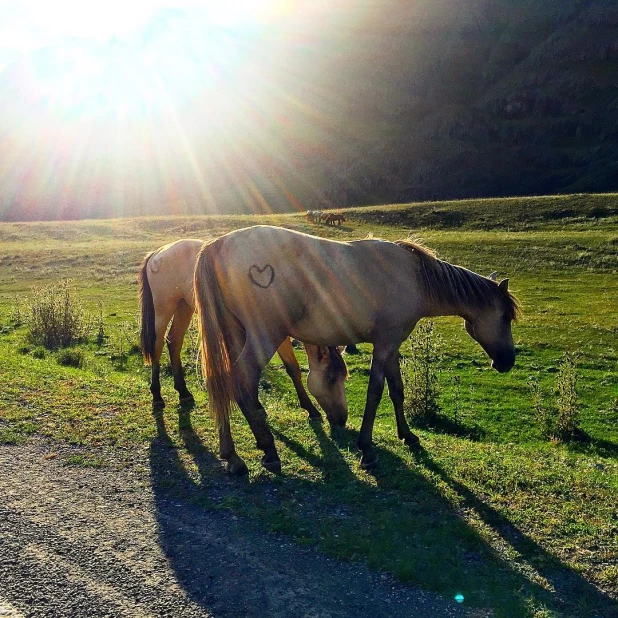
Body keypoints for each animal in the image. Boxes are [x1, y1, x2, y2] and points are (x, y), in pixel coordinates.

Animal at [137, 238, 346, 422]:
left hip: (183, 306)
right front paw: (310, 409)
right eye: (331, 378)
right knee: (157, 345)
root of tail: (158, 252)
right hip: (163, 308)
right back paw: (157, 396)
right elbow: (291, 368)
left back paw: (183, 392)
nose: (342, 419)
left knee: (174, 341)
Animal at [192, 226, 516, 472]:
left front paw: (407, 435)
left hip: (237, 336)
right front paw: (367, 450)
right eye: (505, 316)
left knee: (223, 382)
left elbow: (396, 390)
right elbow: (376, 392)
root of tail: (216, 245)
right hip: (264, 338)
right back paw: (268, 451)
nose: (507, 362)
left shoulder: (391, 345)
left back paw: (232, 454)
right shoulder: (384, 346)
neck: (414, 277)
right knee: (241, 380)